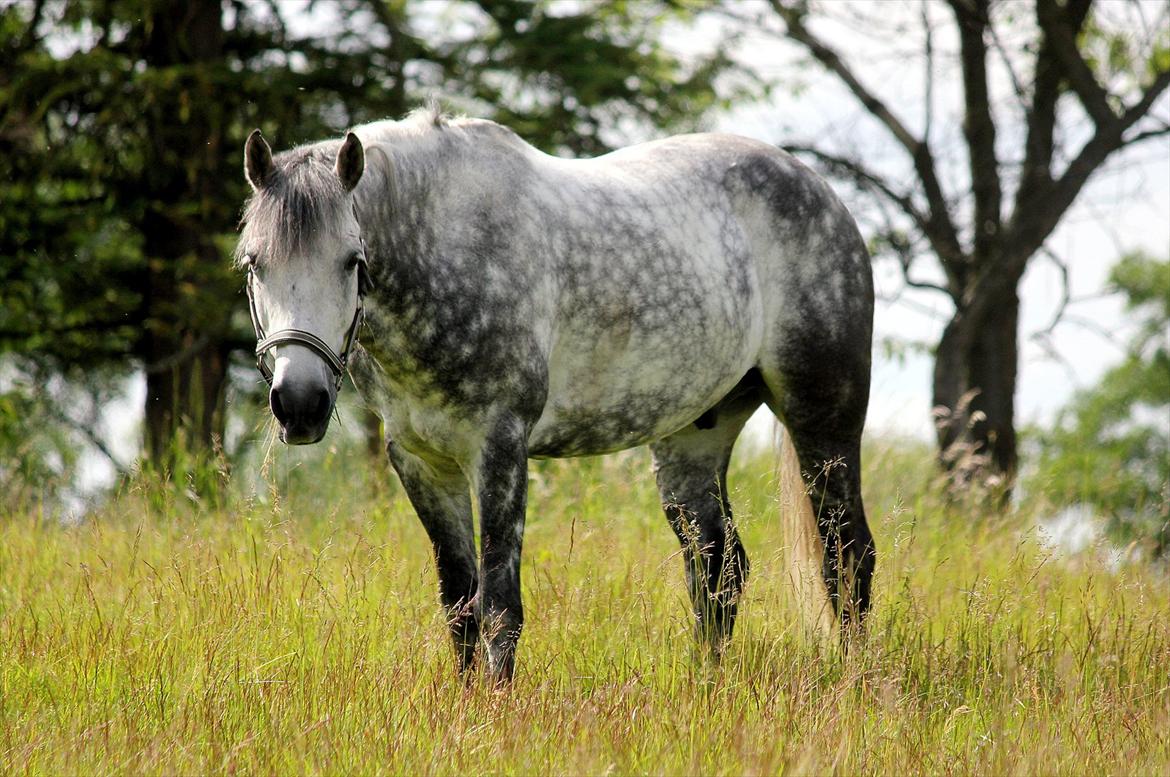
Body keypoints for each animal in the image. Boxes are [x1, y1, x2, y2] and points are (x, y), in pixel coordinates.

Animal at [237, 107, 875, 678]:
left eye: (352, 261)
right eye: (253, 264)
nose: (300, 403)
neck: (446, 247)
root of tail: (822, 193)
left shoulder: (499, 448)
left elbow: (499, 609)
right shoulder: (420, 461)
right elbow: (459, 606)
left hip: (823, 420)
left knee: (847, 557)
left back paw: (856, 686)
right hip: (694, 438)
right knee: (719, 569)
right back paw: (709, 686)